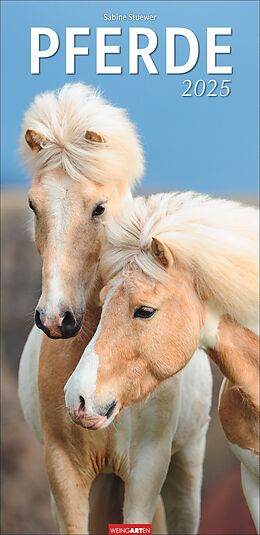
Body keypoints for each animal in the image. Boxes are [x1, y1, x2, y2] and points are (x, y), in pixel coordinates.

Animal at [18, 86, 213, 532]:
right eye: (34, 205)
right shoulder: (64, 471)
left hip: (185, 466)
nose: (56, 318)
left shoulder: (146, 469)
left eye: (99, 208)